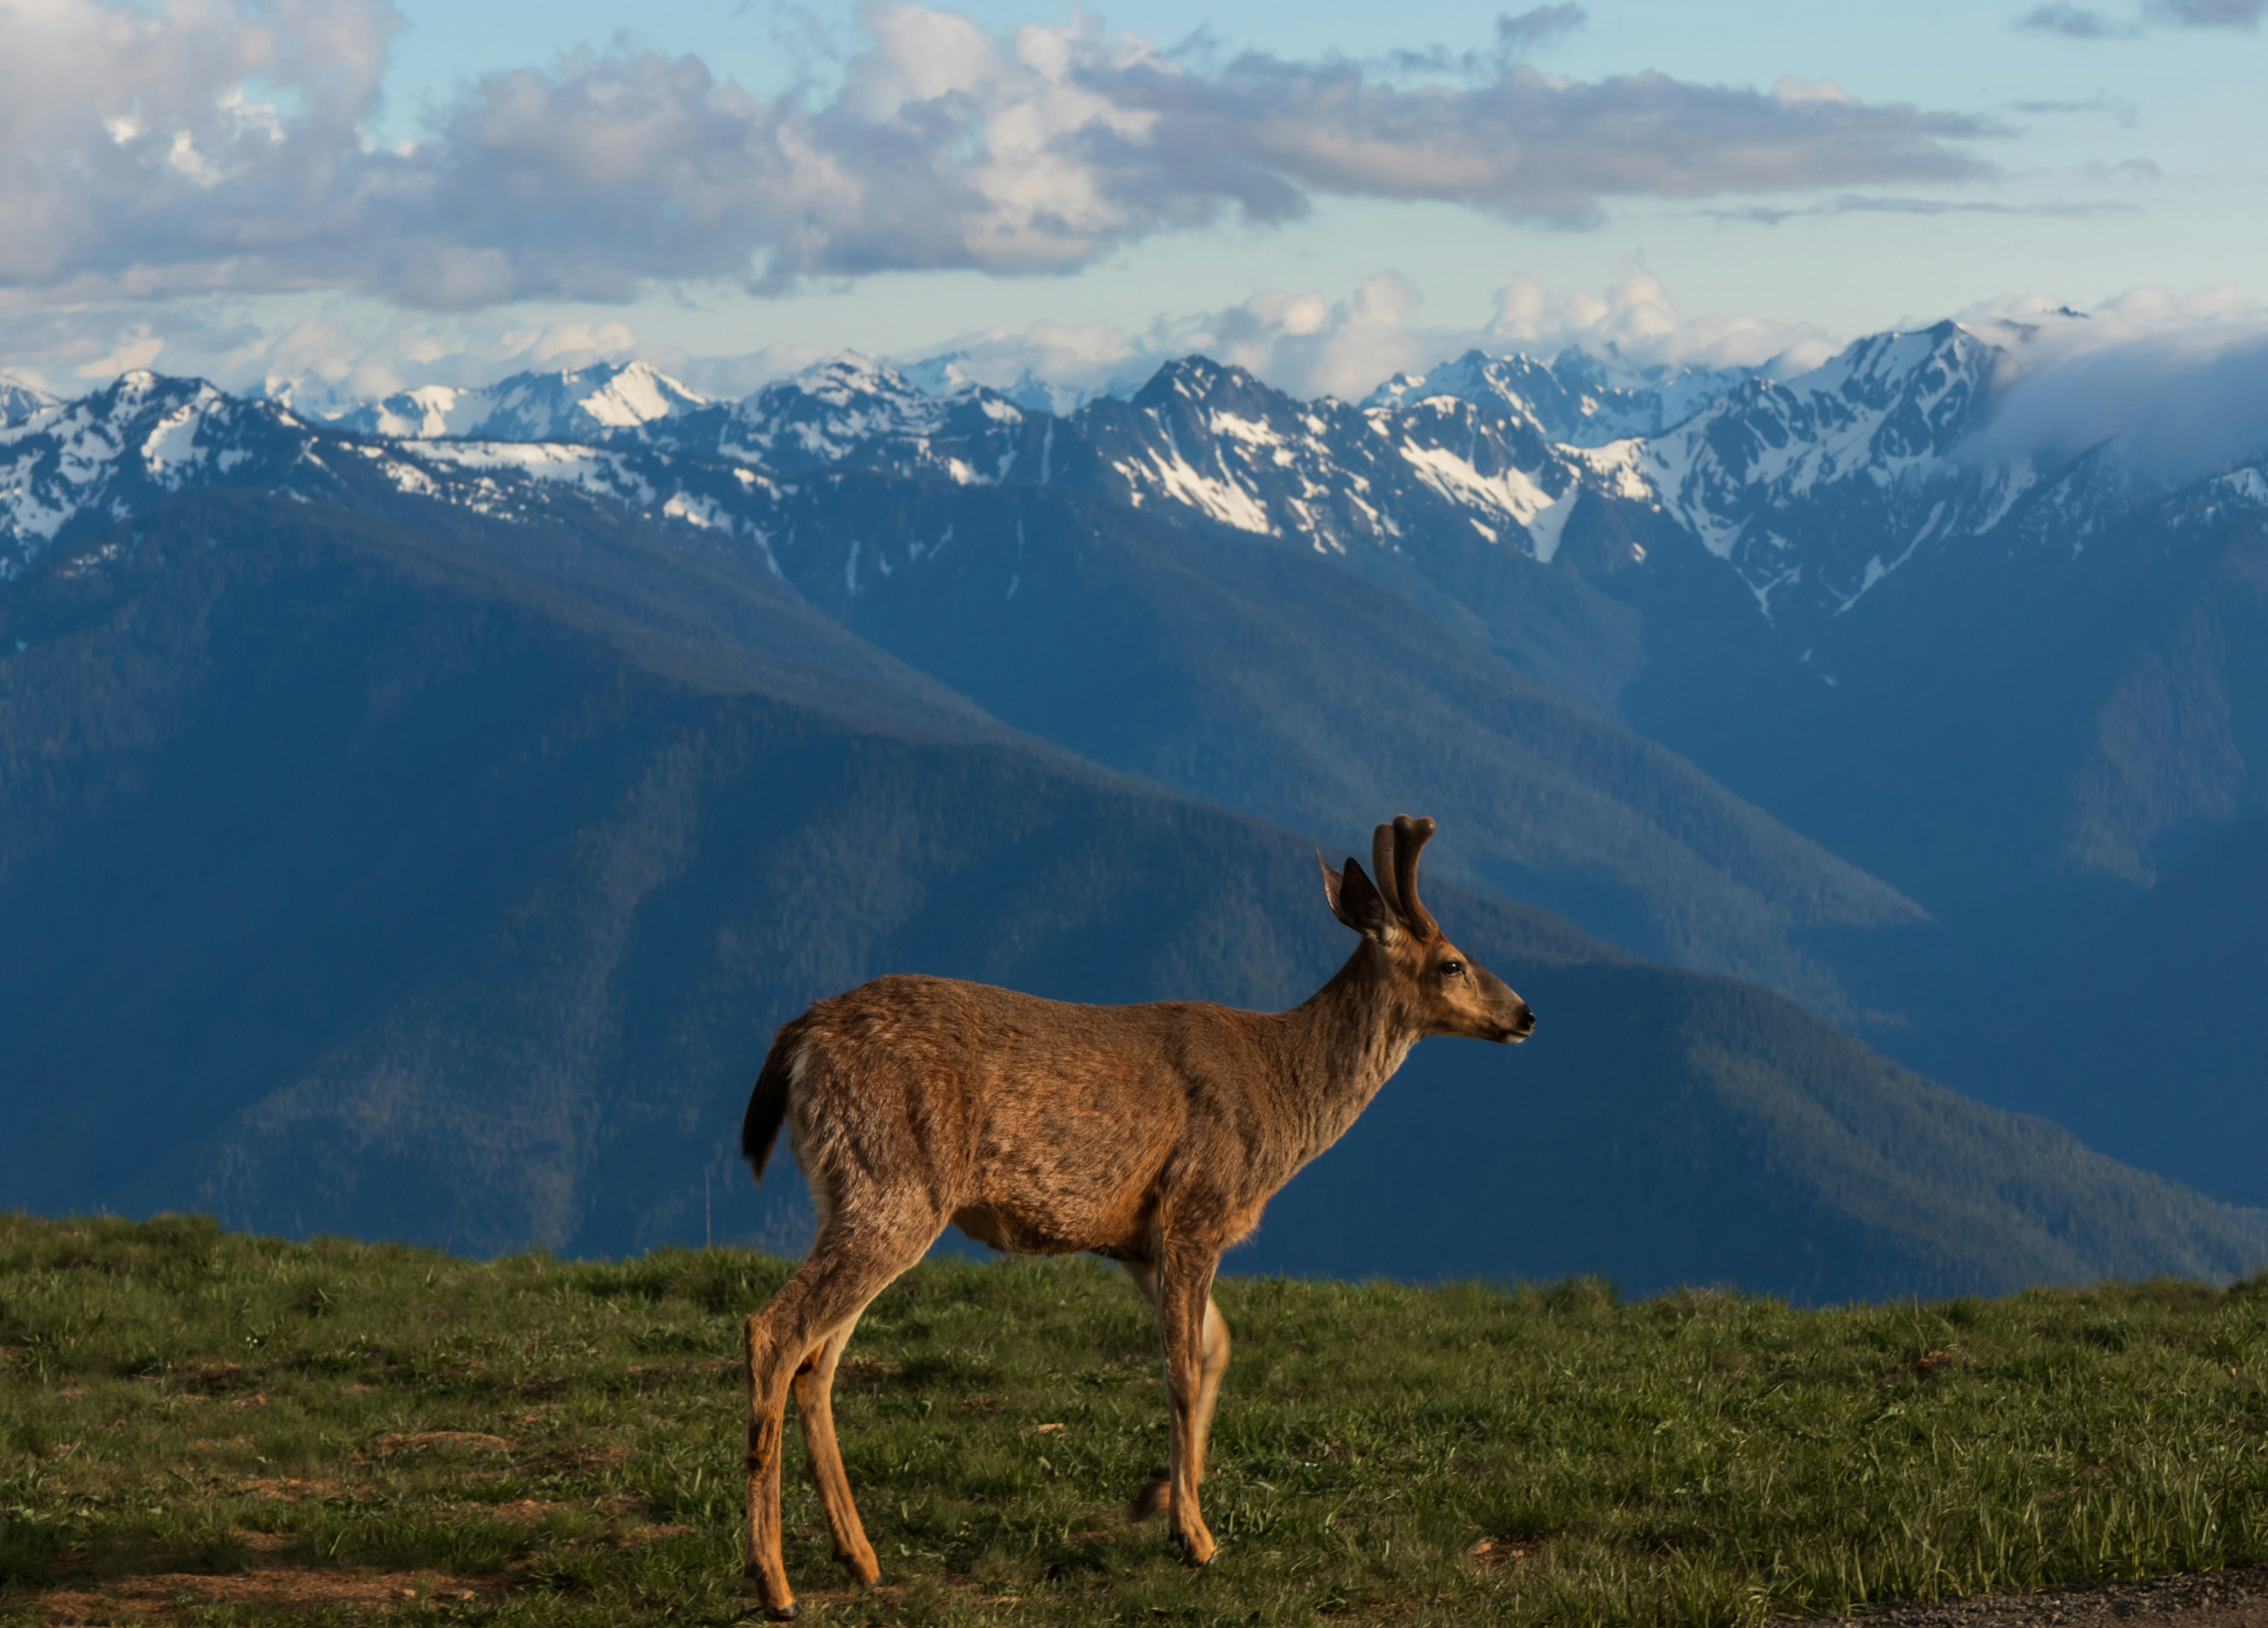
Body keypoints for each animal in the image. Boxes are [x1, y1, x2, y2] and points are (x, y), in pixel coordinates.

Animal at [735, 816, 1533, 1623]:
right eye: (1453, 963)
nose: (1526, 1014)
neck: (1282, 1093)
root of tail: (798, 1037)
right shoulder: (1196, 1208)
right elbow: (1182, 1367)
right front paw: (1196, 1536)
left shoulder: (1140, 1243)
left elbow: (1218, 1345)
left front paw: (1156, 1495)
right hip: (894, 1184)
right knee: (775, 1330)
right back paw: (775, 1581)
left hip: (852, 1192)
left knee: (819, 1360)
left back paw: (859, 1557)